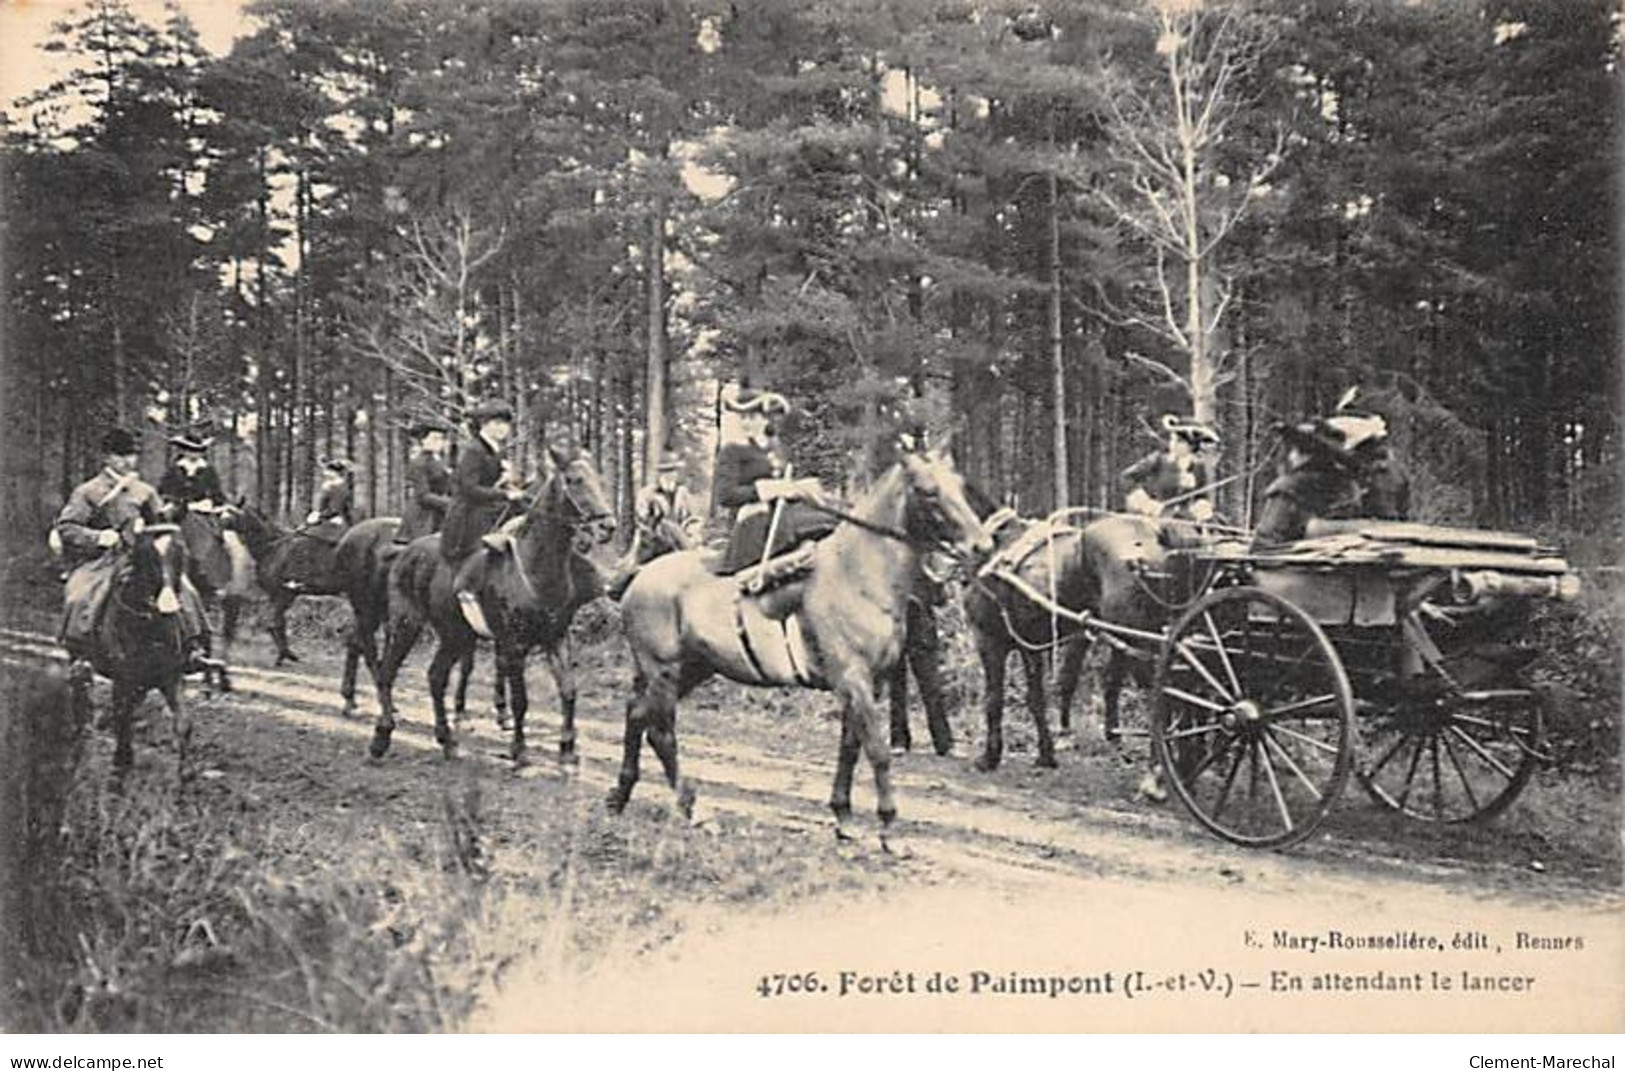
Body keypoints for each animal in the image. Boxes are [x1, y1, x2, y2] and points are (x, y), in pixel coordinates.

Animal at [368, 448, 614, 767]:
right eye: (574, 480)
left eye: (599, 479)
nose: (607, 526)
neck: (533, 568)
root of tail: (403, 551)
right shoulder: (514, 645)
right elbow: (521, 700)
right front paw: (519, 750)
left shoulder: (556, 638)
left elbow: (569, 691)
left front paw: (567, 749)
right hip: (406, 623)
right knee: (387, 673)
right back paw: (381, 737)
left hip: (454, 634)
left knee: (436, 677)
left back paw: (447, 740)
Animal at [611, 445, 988, 851]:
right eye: (928, 492)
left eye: (959, 487)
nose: (980, 545)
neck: (858, 574)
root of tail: (638, 579)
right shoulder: (854, 679)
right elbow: (877, 751)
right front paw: (888, 828)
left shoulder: (865, 685)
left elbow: (850, 749)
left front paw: (843, 817)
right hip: (663, 670)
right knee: (660, 733)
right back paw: (694, 808)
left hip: (692, 668)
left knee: (636, 714)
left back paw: (621, 794)